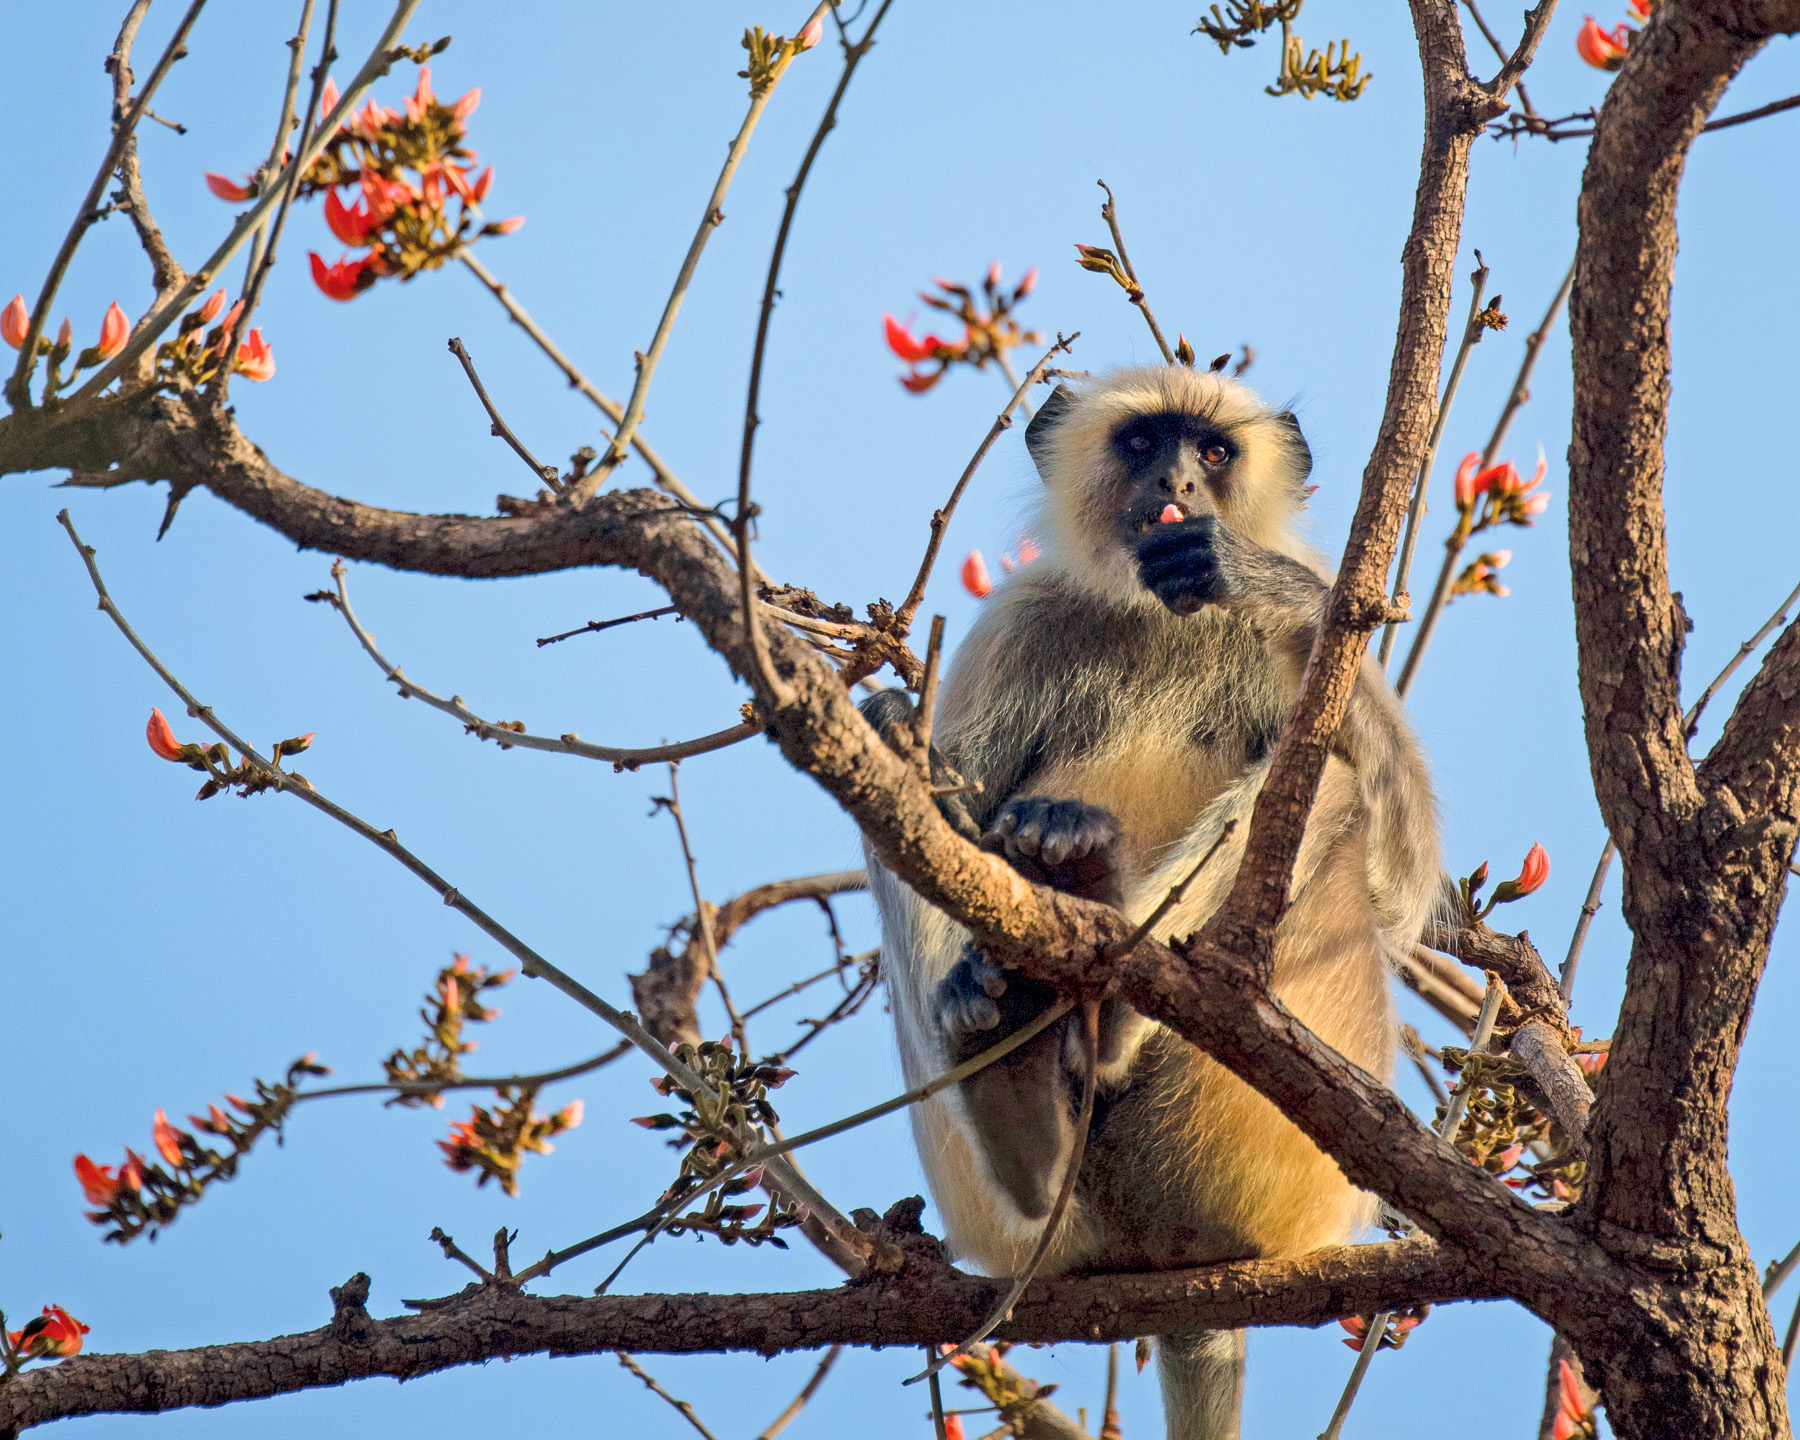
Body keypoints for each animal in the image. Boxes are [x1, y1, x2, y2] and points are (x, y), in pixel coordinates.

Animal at [858, 365, 1442, 1440]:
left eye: (1211, 450)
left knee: (1336, 781)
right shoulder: (1023, 622)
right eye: (1141, 444)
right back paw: (1014, 1087)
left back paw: (1110, 1010)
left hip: (1283, 1168)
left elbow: (1404, 876)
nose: (1176, 482)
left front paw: (1256, 576)